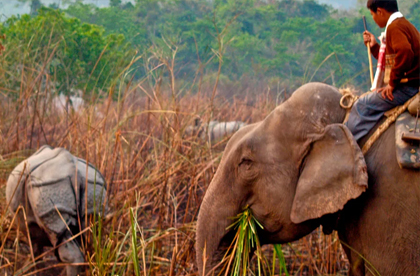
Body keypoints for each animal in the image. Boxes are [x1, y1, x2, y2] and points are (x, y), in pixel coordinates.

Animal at [5, 146, 107, 274]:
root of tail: (74, 173)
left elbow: (34, 244)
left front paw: (28, 268)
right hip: (94, 186)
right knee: (91, 234)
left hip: (48, 185)